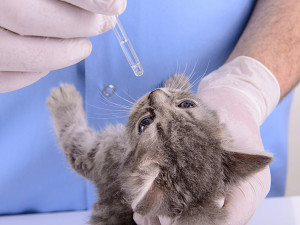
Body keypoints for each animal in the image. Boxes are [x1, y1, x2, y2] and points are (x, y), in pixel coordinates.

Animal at [46, 74, 272, 224]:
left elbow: (73, 136)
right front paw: (177, 79)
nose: (154, 93)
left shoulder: (100, 157)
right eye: (187, 104)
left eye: (144, 123)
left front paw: (64, 99)